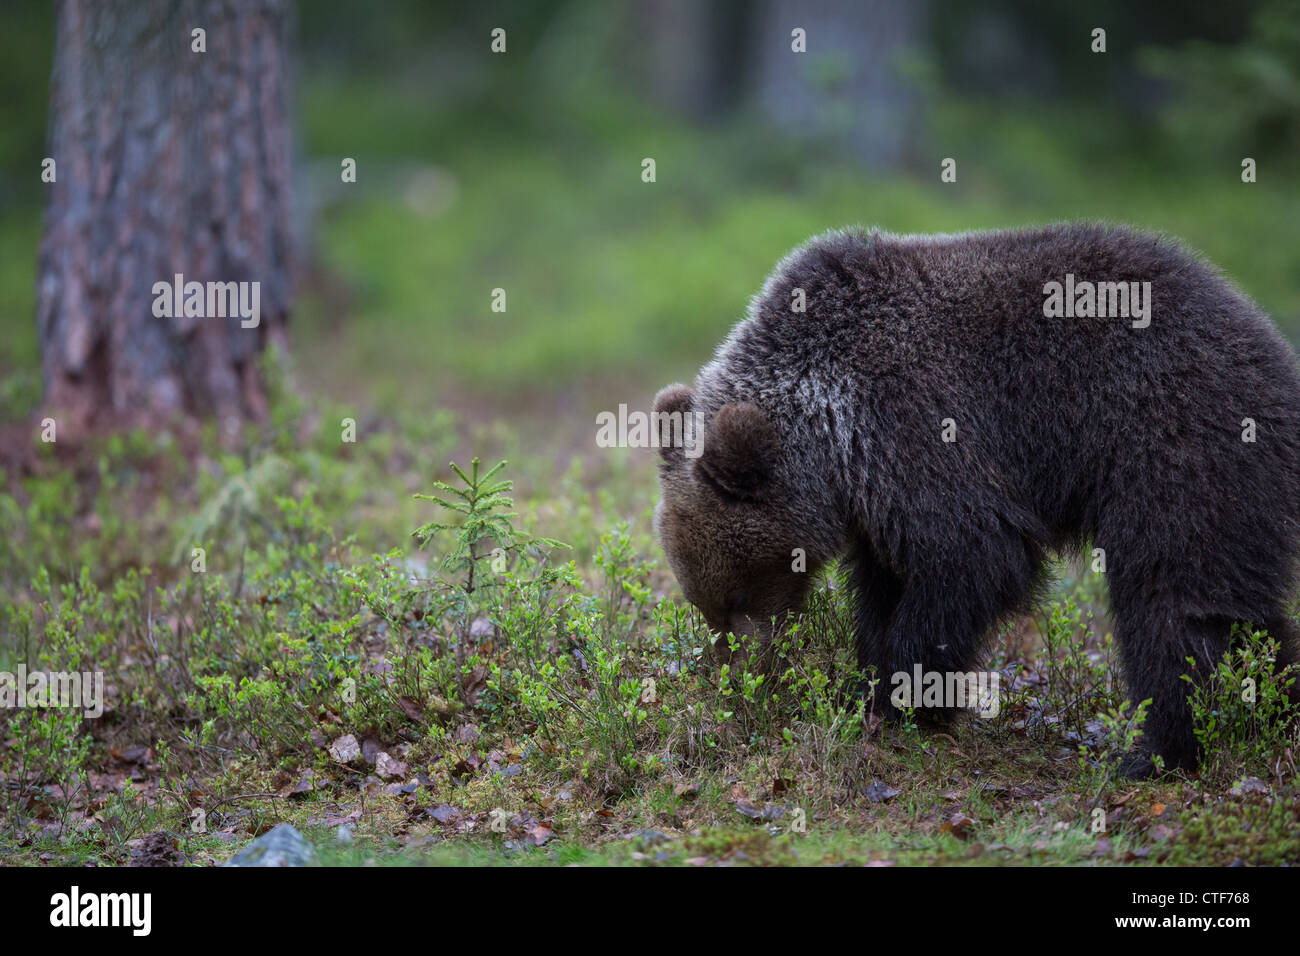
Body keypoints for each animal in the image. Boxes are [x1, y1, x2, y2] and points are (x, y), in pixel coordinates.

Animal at [655, 223, 1300, 780]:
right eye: (705, 605)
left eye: (738, 597)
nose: (740, 685)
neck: (832, 429)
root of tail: (1270, 344)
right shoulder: (878, 502)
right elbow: (886, 584)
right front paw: (873, 689)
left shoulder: (918, 423)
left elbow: (972, 557)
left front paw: (898, 697)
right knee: (1238, 608)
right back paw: (1270, 709)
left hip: (1175, 440)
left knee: (1172, 597)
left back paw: (1159, 751)